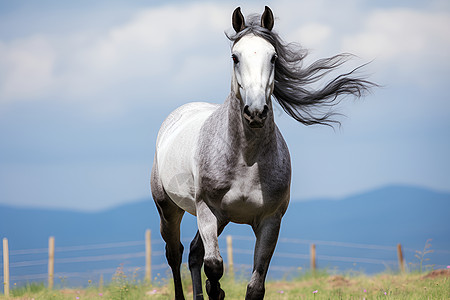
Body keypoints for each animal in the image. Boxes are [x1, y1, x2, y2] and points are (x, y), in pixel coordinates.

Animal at [151, 5, 372, 300]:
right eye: (235, 56)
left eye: (274, 57)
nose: (255, 112)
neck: (246, 160)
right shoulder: (207, 211)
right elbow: (214, 266)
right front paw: (217, 290)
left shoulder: (270, 220)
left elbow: (254, 285)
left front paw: (222, 291)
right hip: (169, 209)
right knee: (176, 254)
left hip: (220, 220)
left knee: (194, 253)